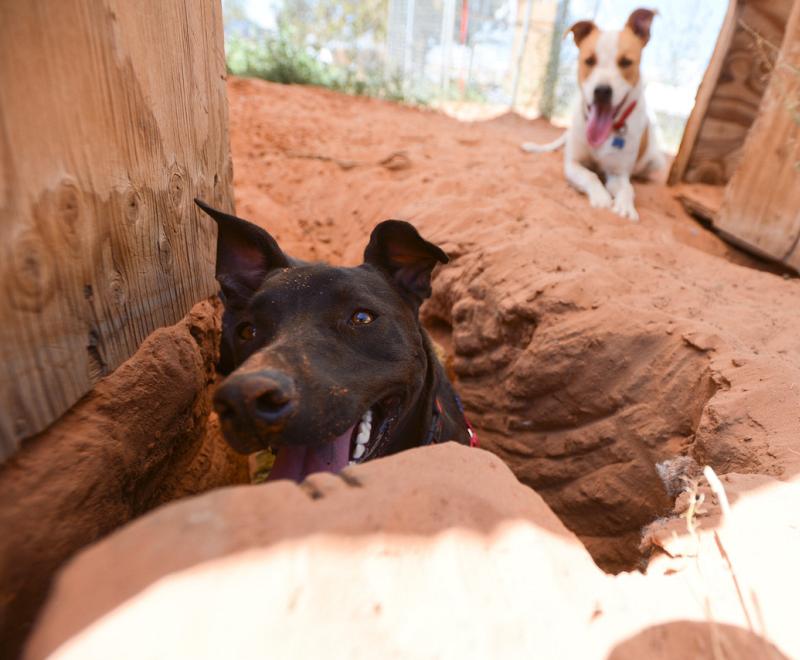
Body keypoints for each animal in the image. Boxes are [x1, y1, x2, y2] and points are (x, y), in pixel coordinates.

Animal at [520, 7, 664, 220]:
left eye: (626, 62)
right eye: (589, 61)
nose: (602, 91)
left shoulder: (618, 173)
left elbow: (627, 188)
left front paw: (625, 206)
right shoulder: (573, 163)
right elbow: (590, 175)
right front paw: (601, 197)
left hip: (656, 161)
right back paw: (534, 147)